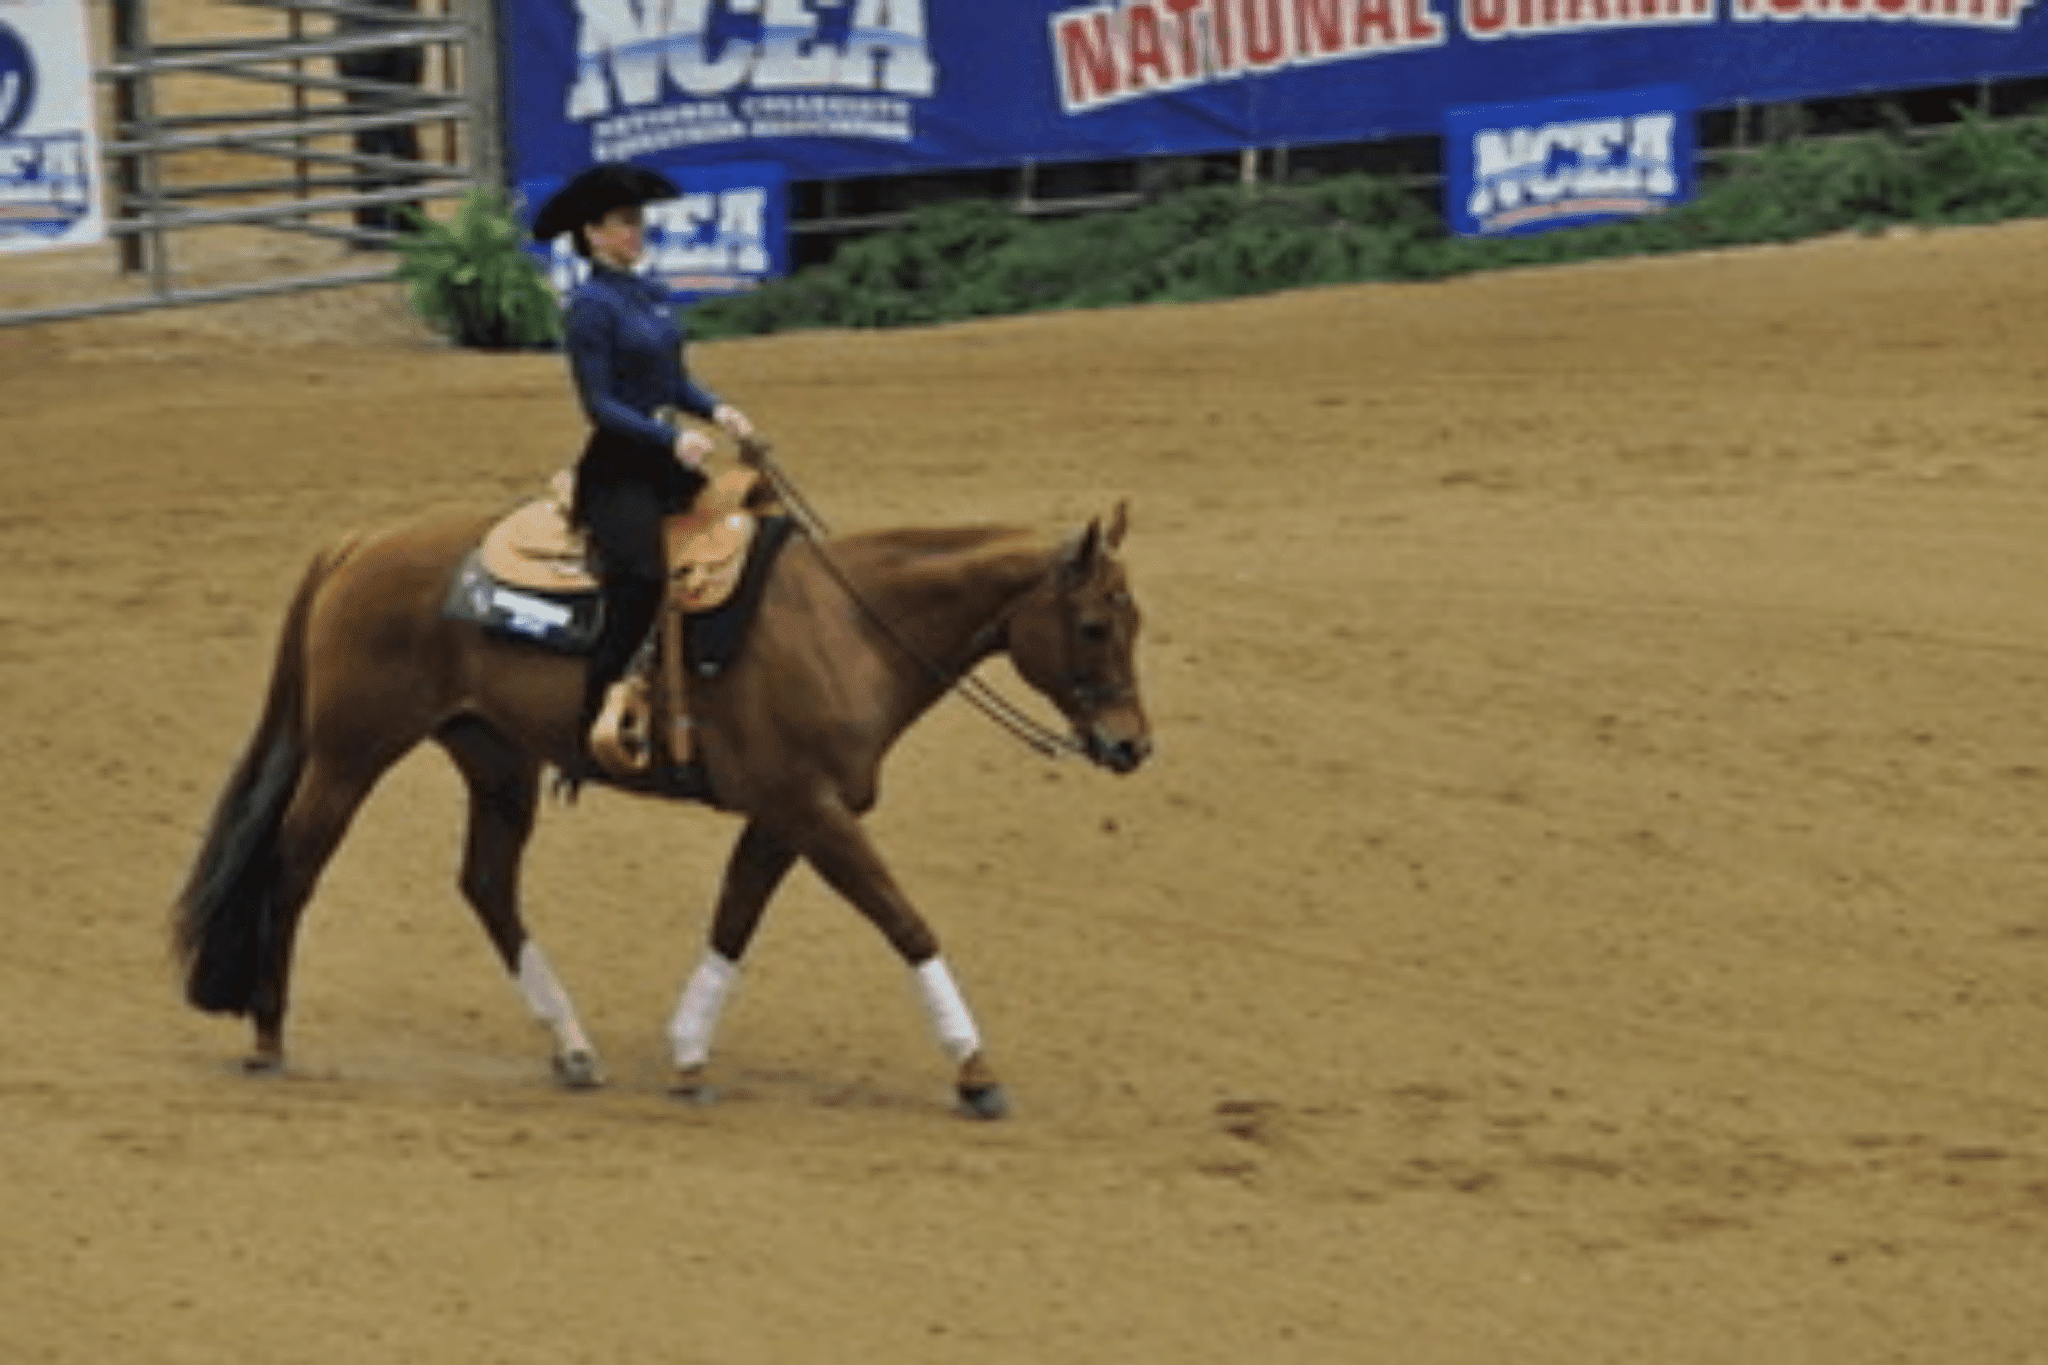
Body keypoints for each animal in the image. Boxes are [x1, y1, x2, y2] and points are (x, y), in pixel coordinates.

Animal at [170, 490, 1150, 1120]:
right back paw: (268, 1037)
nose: (1133, 745)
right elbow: (905, 921)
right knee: (295, 866)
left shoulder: (784, 814)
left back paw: (572, 1047)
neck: (847, 629)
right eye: (1095, 624)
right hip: (350, 754)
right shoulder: (815, 810)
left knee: (487, 883)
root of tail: (359, 542)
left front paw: (686, 1055)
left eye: (1134, 622)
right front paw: (976, 1071)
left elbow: (733, 920)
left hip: (495, 760)